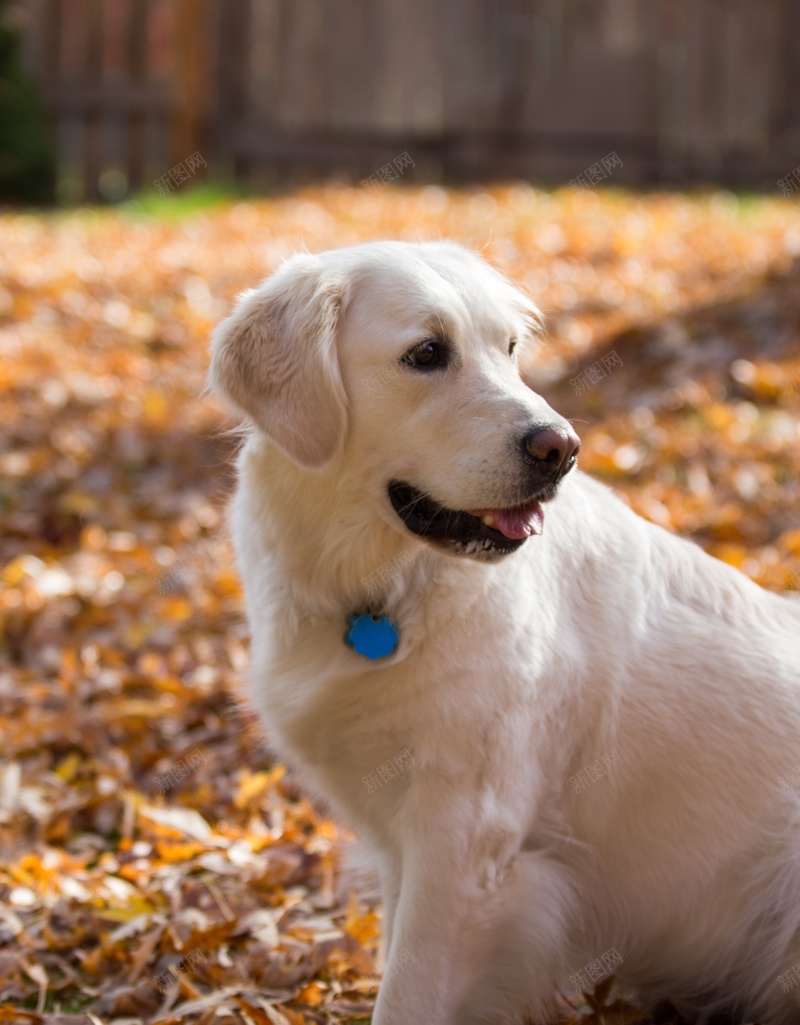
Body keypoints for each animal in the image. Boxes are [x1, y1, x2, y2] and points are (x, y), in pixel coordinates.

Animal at [211, 241, 800, 1025]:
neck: (381, 588)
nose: (563, 449)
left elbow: (408, 994)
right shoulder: (406, 843)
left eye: (510, 347)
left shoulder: (464, 838)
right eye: (427, 353)